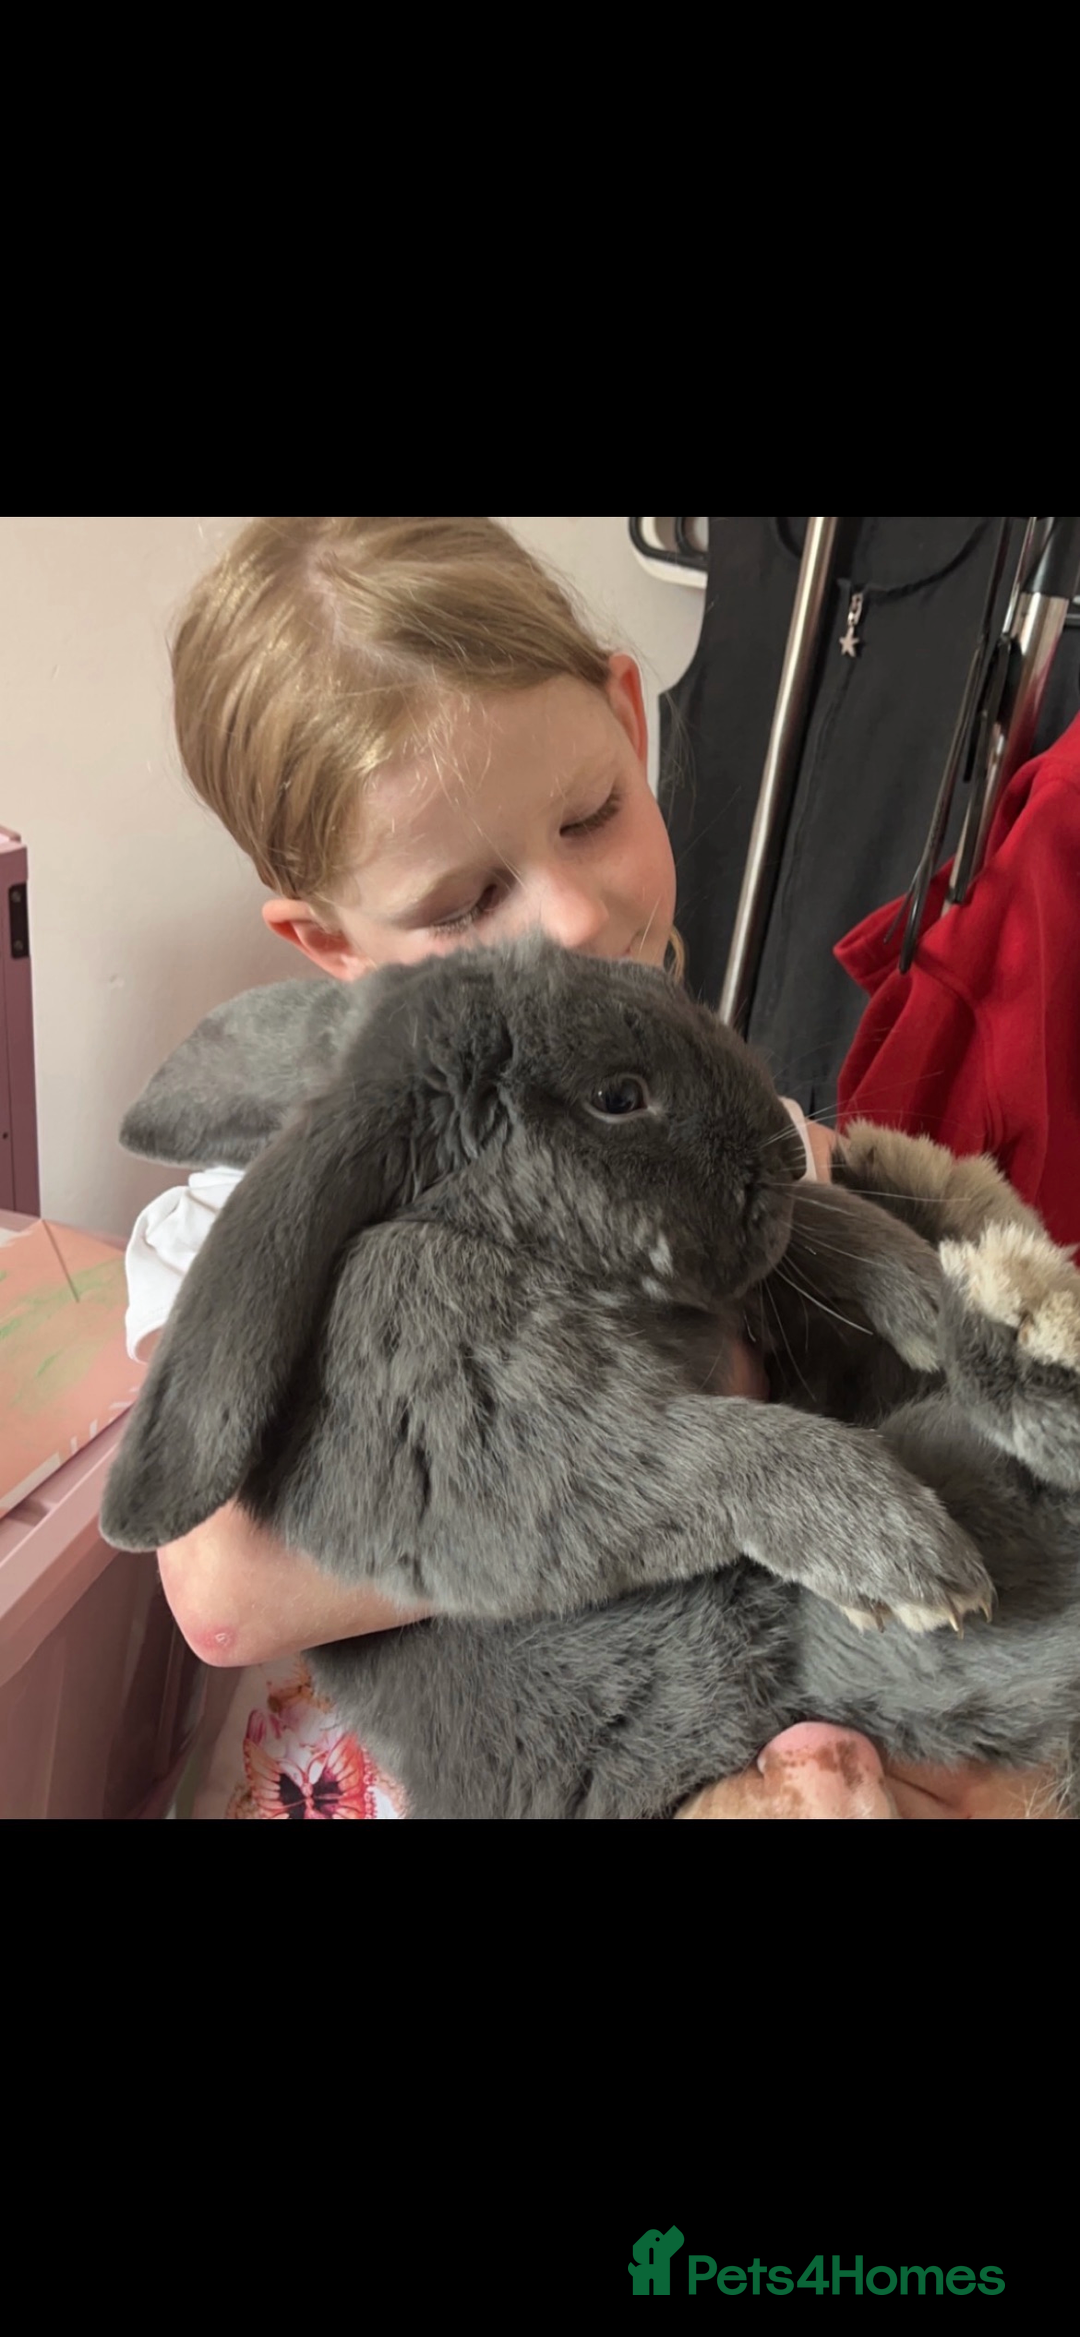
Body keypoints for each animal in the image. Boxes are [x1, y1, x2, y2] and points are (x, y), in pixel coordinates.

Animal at [101, 934, 1080, 1819]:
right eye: (619, 1096)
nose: (786, 1157)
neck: (491, 1231)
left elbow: (834, 1235)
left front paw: (919, 1291)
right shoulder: (456, 1387)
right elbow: (691, 1452)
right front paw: (900, 1552)